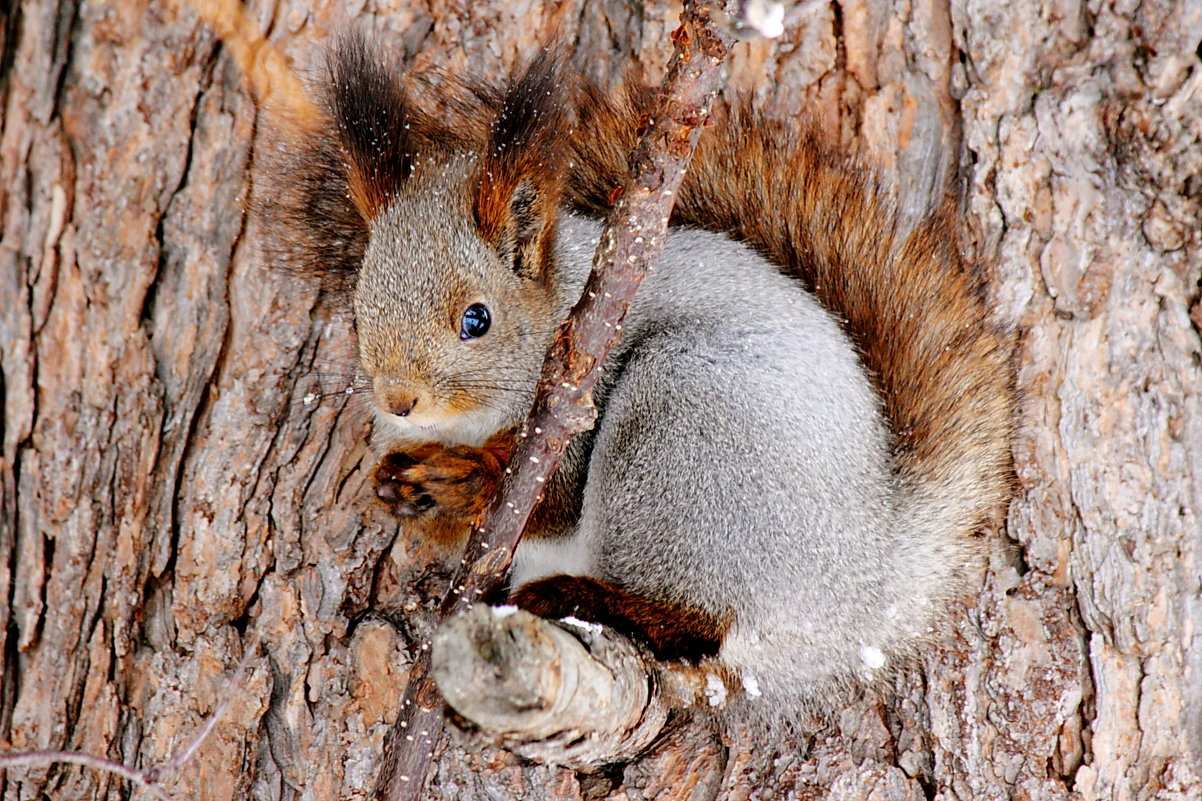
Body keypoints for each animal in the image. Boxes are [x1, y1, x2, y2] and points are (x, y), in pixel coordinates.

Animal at [258, 35, 1019, 721]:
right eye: (359, 314)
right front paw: (401, 482)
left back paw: (589, 598)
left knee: (698, 625)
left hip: (682, 432)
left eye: (477, 319)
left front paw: (459, 480)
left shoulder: (575, 406)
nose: (400, 400)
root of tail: (867, 593)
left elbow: (550, 503)